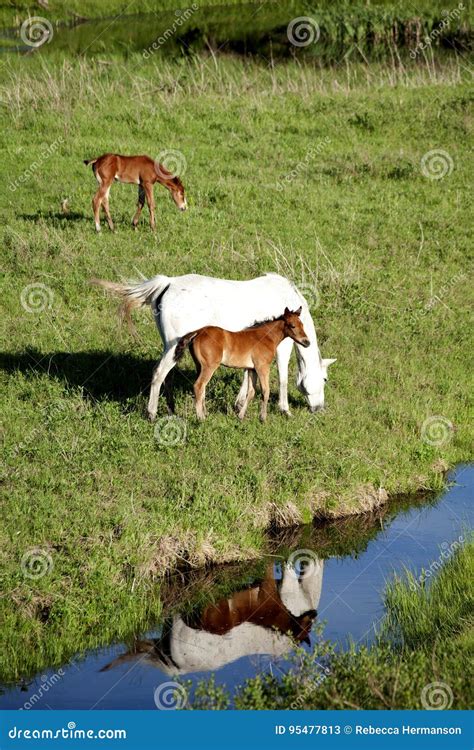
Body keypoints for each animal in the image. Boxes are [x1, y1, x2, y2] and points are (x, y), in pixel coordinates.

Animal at [175, 307, 310, 421]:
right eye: (292, 325)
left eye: (302, 325)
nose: (307, 342)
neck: (266, 337)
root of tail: (198, 332)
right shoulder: (262, 367)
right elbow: (265, 391)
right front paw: (263, 418)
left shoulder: (252, 369)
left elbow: (251, 392)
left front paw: (240, 416)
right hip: (209, 366)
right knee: (199, 385)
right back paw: (201, 418)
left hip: (199, 366)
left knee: (202, 387)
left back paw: (205, 414)